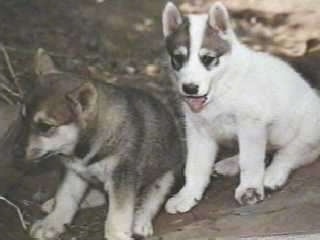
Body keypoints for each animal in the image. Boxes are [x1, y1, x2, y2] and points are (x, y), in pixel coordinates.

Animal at [18, 49, 185, 239]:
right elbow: (65, 197)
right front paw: (52, 222)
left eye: (45, 127)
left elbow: (117, 215)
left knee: (151, 198)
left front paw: (117, 235)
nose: (17, 153)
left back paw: (141, 221)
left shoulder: (121, 179)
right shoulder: (73, 171)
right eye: (23, 117)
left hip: (166, 175)